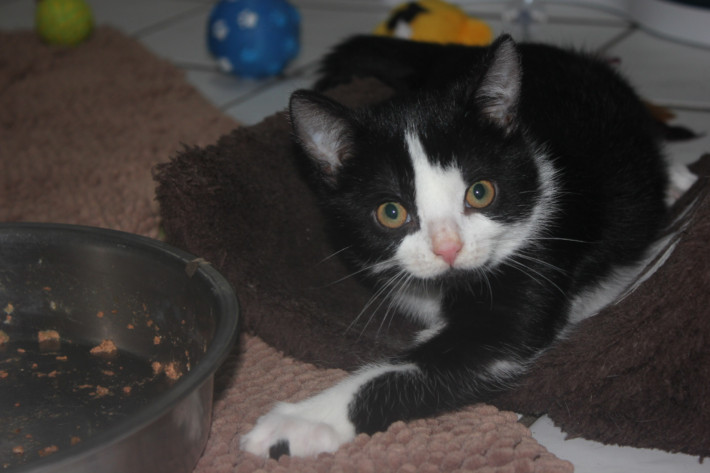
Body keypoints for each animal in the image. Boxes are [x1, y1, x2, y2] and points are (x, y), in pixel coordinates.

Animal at [241, 34, 670, 458]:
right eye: (391, 213)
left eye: (480, 192)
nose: (448, 248)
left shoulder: (541, 251)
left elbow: (440, 358)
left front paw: (299, 422)